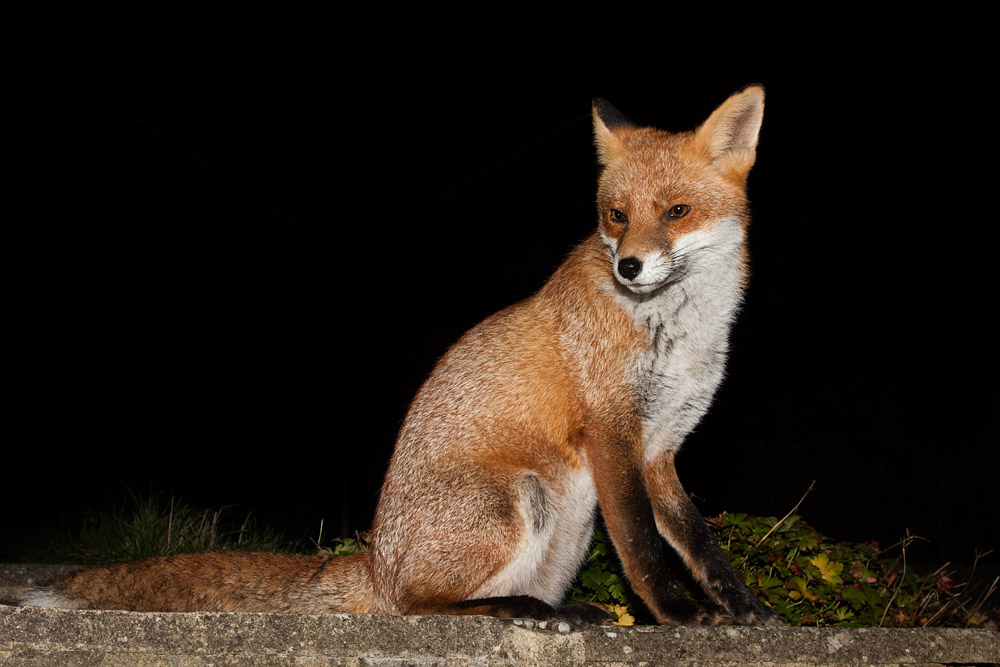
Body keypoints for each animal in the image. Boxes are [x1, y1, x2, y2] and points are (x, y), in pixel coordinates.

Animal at [22, 86, 780, 625]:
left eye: (677, 212)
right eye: (617, 215)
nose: (628, 267)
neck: (679, 333)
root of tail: (373, 562)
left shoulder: (659, 446)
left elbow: (700, 545)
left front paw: (747, 612)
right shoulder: (612, 432)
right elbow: (646, 550)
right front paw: (680, 617)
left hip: (567, 527)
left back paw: (556, 608)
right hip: (520, 496)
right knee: (420, 606)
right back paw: (518, 611)